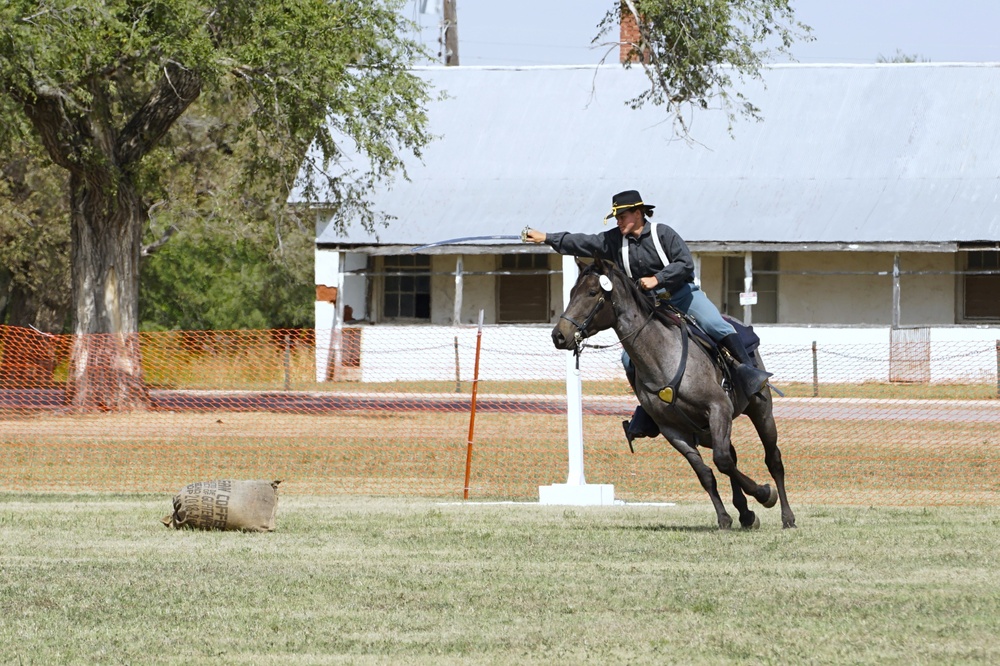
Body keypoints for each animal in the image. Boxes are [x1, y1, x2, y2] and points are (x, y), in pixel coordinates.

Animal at [552, 256, 792, 528]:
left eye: (592, 293)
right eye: (572, 292)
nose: (559, 335)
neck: (662, 357)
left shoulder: (718, 408)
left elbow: (722, 461)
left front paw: (764, 493)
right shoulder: (673, 430)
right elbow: (707, 473)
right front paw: (724, 518)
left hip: (760, 412)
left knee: (772, 459)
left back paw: (787, 516)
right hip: (706, 430)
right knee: (731, 455)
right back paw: (745, 513)